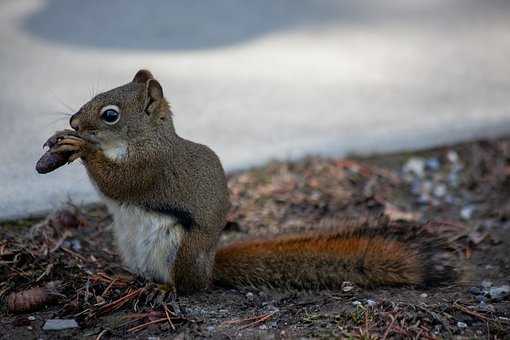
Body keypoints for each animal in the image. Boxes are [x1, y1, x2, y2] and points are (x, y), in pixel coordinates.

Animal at [43, 68, 458, 292]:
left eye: (110, 114)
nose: (74, 122)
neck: (144, 139)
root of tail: (209, 268)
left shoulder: (152, 168)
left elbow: (119, 183)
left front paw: (80, 146)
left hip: (182, 249)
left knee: (186, 287)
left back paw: (164, 288)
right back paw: (122, 281)